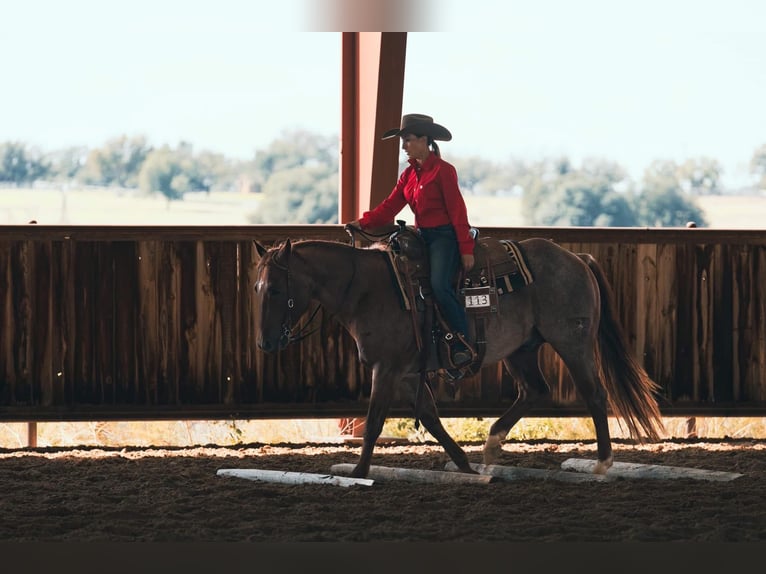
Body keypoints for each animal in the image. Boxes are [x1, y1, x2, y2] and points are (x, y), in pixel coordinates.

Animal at [254, 234, 664, 482]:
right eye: (257, 288)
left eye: (274, 289)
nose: (265, 343)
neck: (368, 289)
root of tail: (576, 258)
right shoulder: (407, 373)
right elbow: (430, 418)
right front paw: (465, 466)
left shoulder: (386, 369)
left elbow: (373, 422)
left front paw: (358, 471)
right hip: (521, 350)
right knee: (534, 391)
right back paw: (492, 445)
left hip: (572, 342)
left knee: (594, 394)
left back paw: (601, 462)